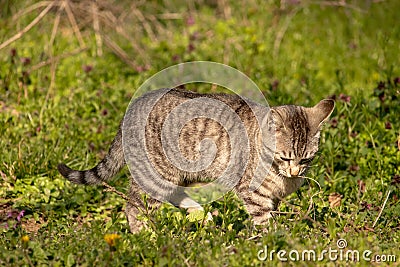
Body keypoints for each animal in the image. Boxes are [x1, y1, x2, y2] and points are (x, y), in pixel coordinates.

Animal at [57, 88, 334, 232]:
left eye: (307, 159)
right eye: (285, 157)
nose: (295, 172)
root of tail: (134, 105)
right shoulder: (252, 192)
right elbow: (263, 219)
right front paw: (274, 241)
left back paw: (201, 213)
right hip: (157, 174)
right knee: (135, 206)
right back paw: (146, 236)